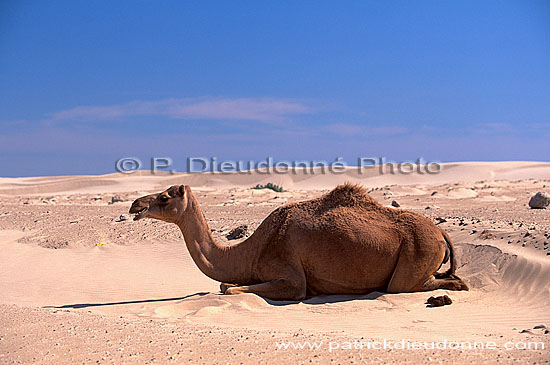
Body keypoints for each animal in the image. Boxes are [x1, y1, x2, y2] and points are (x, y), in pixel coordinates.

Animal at [129, 182, 470, 298]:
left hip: (418, 251)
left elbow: (228, 288)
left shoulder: (290, 277)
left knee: (405, 286)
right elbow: (225, 284)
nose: (135, 205)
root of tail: (441, 232)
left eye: (164, 197)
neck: (251, 250)